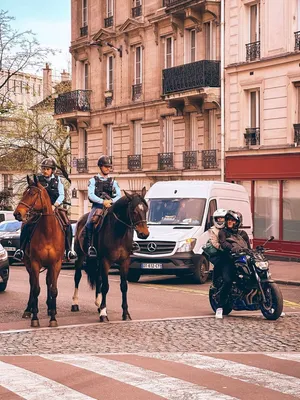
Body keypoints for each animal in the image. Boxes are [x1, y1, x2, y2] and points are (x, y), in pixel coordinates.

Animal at [13, 175, 65, 328]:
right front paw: (35, 318)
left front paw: (53, 318)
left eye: (32, 193)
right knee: (32, 284)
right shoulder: (35, 263)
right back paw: (28, 309)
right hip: (28, 264)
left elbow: (53, 289)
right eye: (24, 192)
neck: (48, 232)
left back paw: (50, 308)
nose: (17, 213)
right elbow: (36, 289)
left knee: (48, 283)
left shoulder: (56, 264)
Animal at [71, 188, 149, 322]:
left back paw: (98, 304)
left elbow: (124, 286)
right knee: (77, 277)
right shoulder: (105, 261)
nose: (145, 234)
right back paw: (75, 303)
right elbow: (106, 286)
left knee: (98, 278)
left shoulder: (125, 261)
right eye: (134, 211)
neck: (118, 232)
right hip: (81, 256)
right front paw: (103, 313)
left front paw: (125, 313)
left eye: (146, 209)